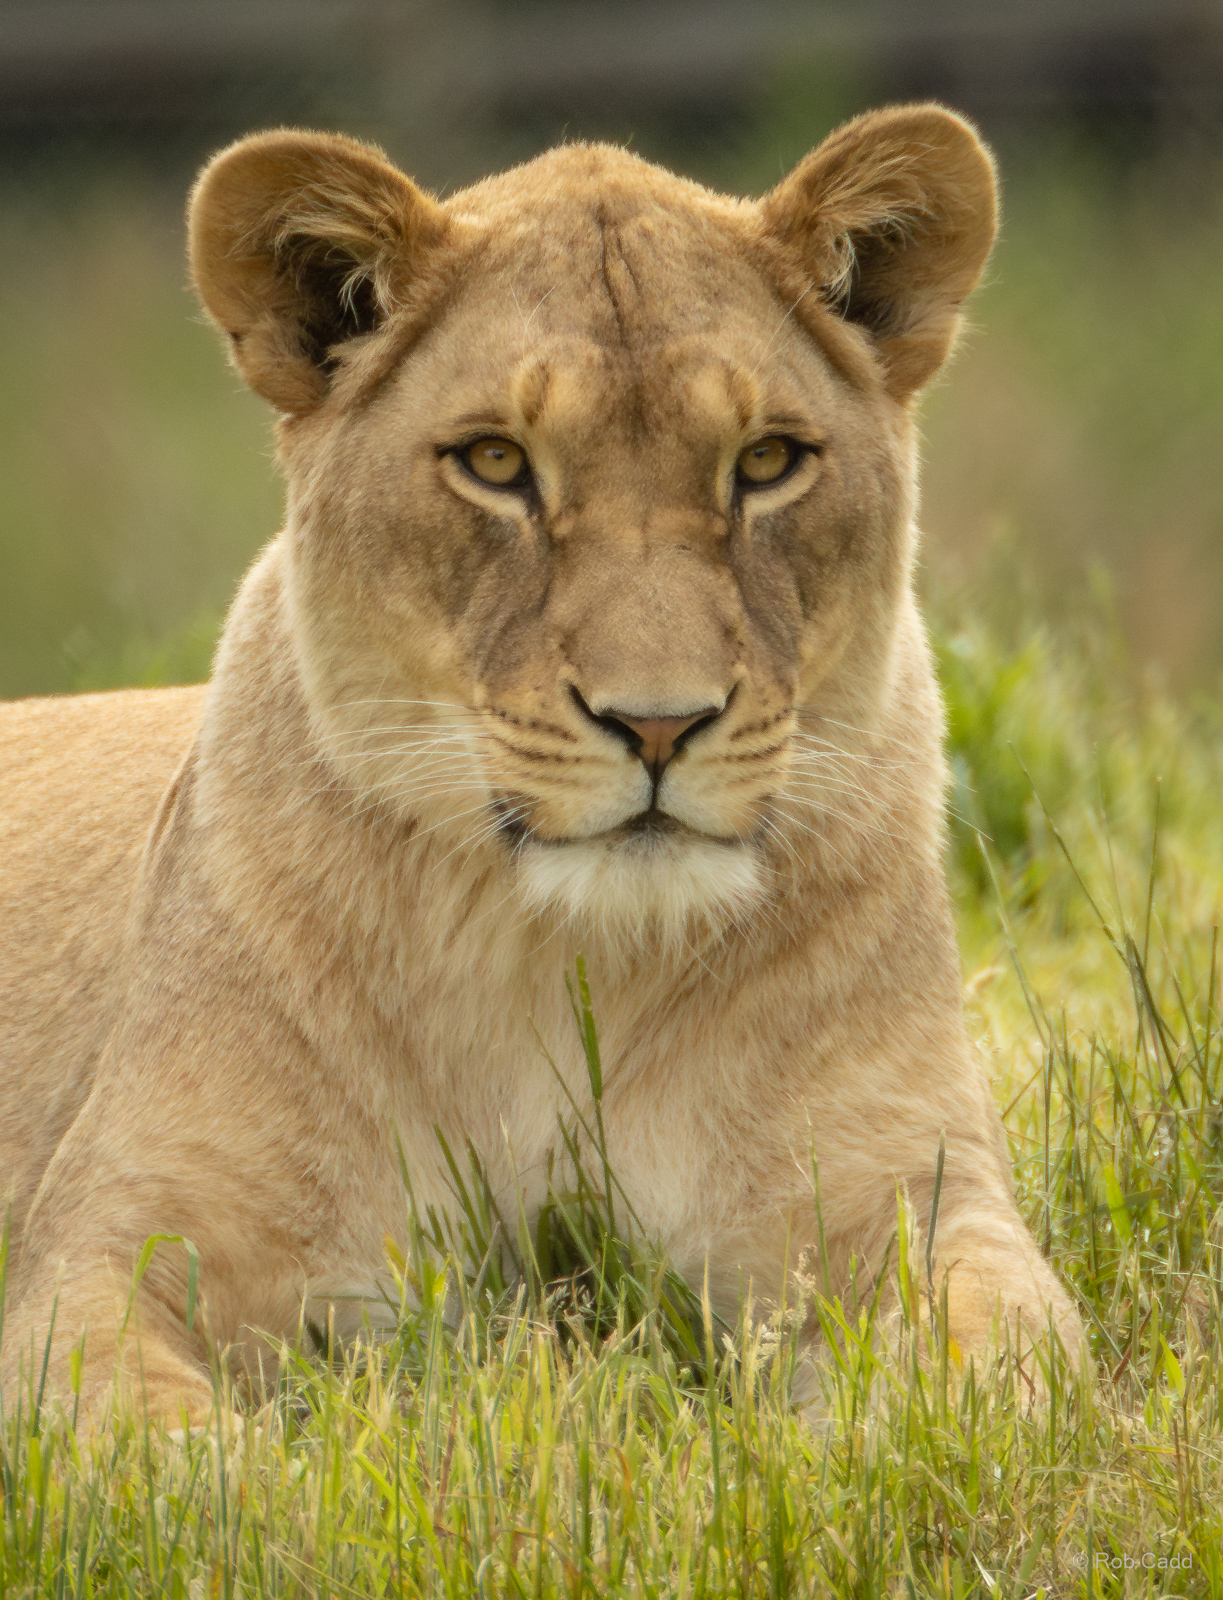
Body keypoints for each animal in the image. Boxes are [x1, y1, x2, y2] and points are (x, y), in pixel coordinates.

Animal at [0, 104, 1084, 1425]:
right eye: (495, 463)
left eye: (765, 462)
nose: (659, 725)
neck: (557, 964)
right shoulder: (104, 1251)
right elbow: (152, 1436)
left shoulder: (917, 1191)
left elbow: (1011, 1368)